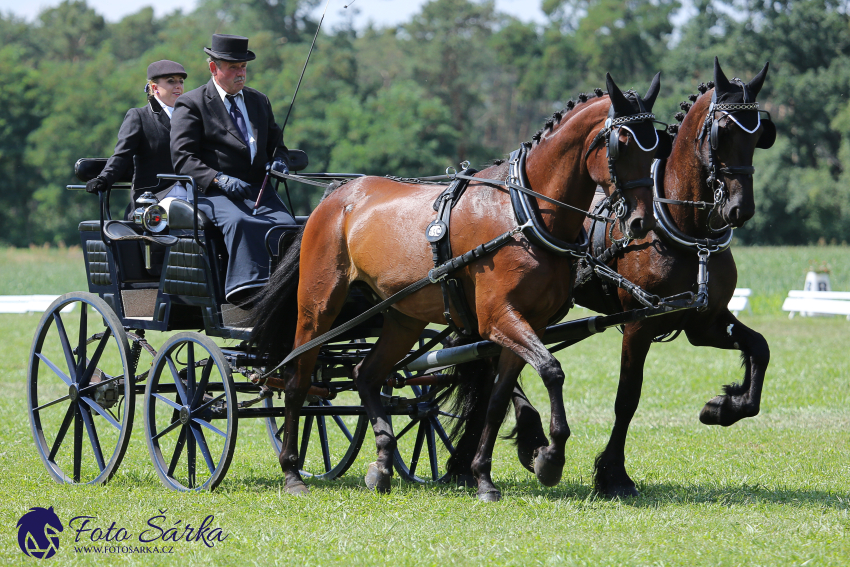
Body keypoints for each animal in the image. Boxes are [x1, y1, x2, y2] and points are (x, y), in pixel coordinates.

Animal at [250, 72, 664, 502]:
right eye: (623, 142)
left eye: (658, 145)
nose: (641, 222)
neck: (524, 214)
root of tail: (335, 196)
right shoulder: (498, 318)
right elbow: (551, 371)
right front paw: (550, 458)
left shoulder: (527, 323)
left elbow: (497, 401)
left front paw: (484, 476)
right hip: (318, 307)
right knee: (298, 380)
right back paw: (292, 471)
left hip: (402, 318)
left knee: (366, 374)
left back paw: (382, 464)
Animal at [500, 55, 772, 494]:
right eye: (724, 132)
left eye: (760, 134)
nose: (739, 209)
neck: (684, 229)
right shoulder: (639, 325)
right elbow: (627, 398)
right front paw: (613, 473)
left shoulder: (705, 321)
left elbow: (759, 348)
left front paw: (723, 406)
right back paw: (531, 436)